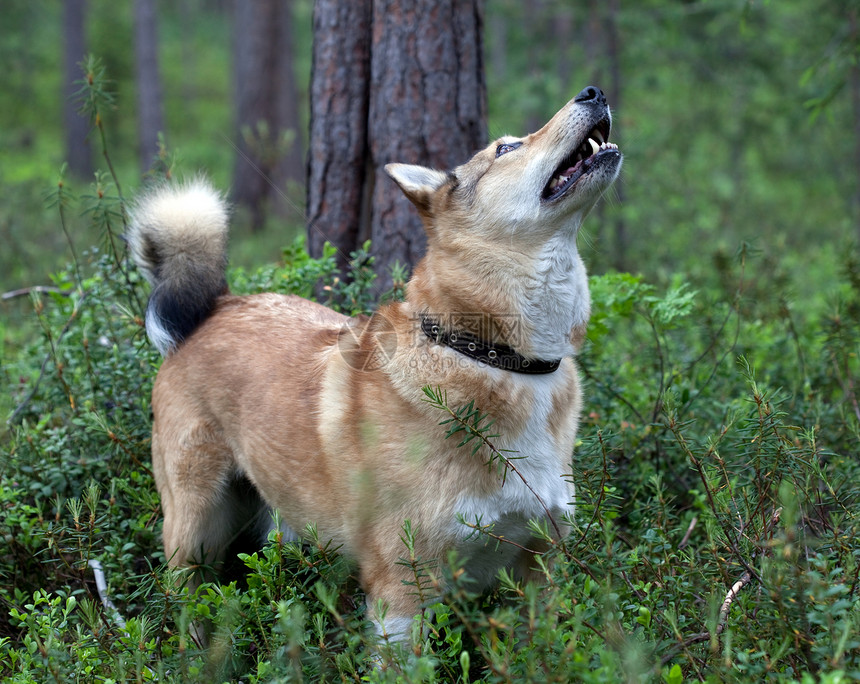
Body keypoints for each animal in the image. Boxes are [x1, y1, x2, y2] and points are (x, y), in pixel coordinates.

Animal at [127, 84, 620, 640]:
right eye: (506, 148)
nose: (594, 91)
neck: (496, 357)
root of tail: (214, 309)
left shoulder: (538, 574)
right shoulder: (403, 589)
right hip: (195, 531)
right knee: (186, 602)